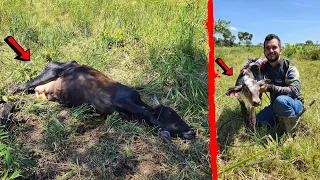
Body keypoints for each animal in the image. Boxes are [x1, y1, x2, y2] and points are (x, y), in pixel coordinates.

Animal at [11, 61, 195, 140]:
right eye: (171, 114)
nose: (192, 130)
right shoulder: (123, 100)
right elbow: (147, 114)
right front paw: (165, 131)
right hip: (59, 69)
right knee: (40, 73)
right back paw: (12, 90)